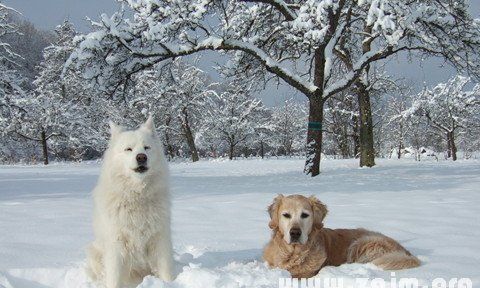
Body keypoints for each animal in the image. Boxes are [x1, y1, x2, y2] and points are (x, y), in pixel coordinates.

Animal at [87, 117, 175, 288]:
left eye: (147, 148)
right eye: (128, 149)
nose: (141, 157)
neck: (137, 196)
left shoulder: (160, 240)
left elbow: (166, 271)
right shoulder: (116, 244)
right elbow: (114, 278)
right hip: (94, 252)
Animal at [262, 195, 420, 278]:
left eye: (305, 215)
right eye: (286, 215)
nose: (295, 233)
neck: (293, 253)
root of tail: (405, 251)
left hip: (362, 242)